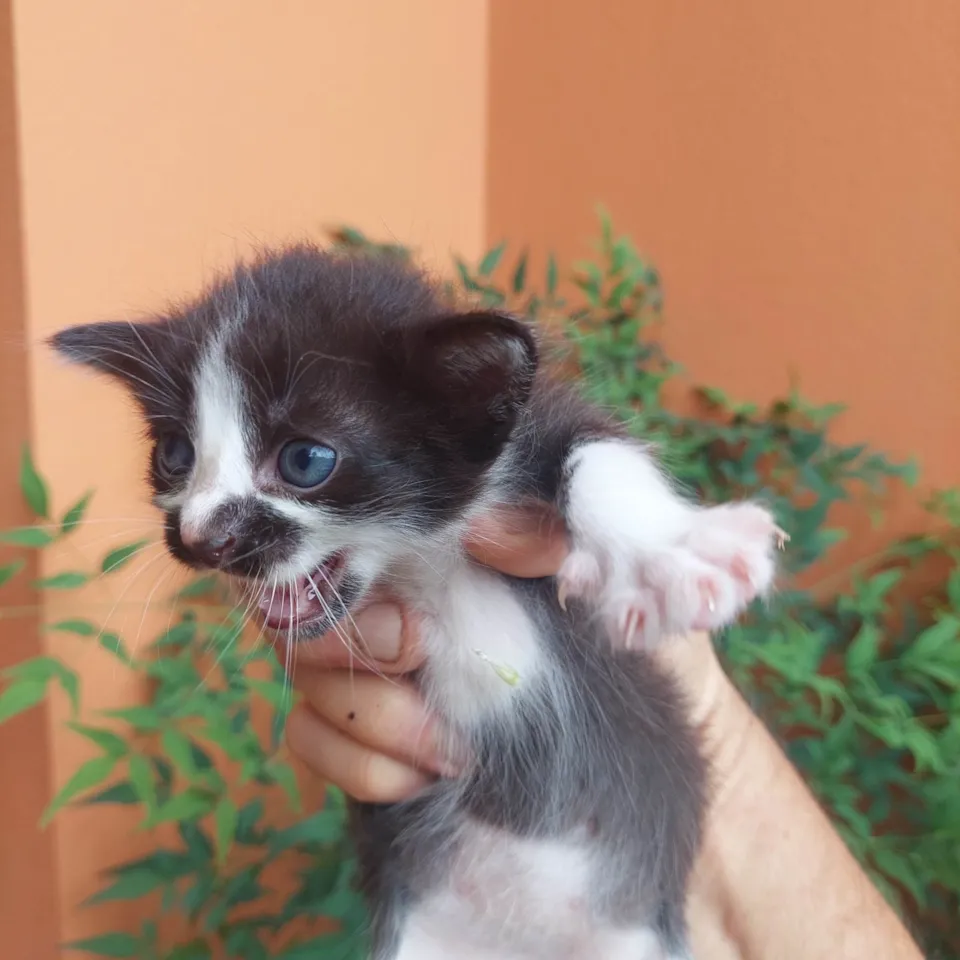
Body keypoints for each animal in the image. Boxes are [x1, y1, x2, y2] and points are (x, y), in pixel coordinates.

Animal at [51, 244, 782, 960]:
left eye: (306, 460)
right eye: (175, 455)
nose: (202, 537)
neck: (425, 559)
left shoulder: (540, 423)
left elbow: (598, 453)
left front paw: (676, 553)